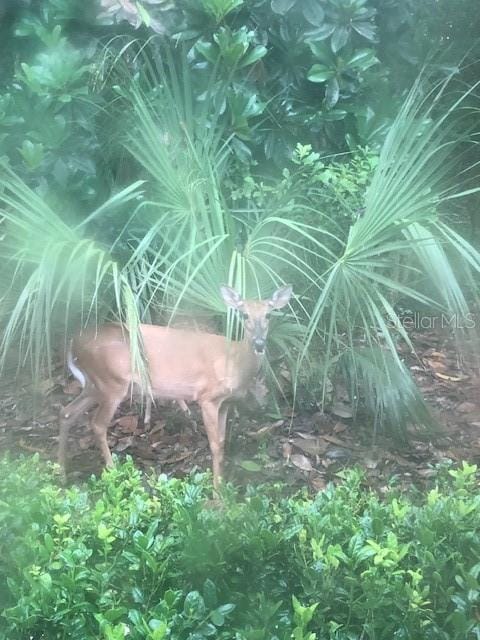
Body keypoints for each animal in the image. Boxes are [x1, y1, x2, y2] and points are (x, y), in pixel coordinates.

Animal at [60, 282, 292, 488]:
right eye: (244, 315)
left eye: (268, 315)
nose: (259, 343)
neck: (235, 362)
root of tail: (73, 342)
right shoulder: (207, 397)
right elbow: (215, 445)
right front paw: (218, 493)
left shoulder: (226, 402)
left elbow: (222, 442)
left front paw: (223, 485)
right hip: (112, 382)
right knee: (97, 424)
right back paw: (112, 473)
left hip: (95, 384)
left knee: (67, 413)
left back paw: (60, 471)